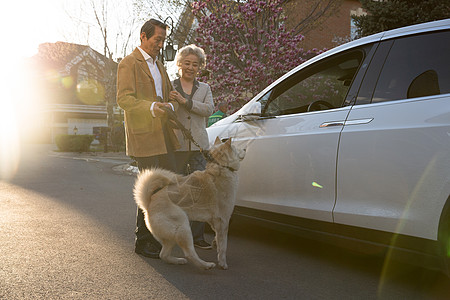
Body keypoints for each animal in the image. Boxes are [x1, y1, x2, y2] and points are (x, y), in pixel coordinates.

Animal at [134, 138, 246, 270]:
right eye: (236, 147)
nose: (245, 149)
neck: (221, 167)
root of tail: (149, 202)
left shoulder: (215, 221)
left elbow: (218, 238)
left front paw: (215, 243)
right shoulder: (223, 220)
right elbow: (223, 246)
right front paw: (223, 263)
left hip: (172, 237)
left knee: (164, 255)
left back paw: (178, 261)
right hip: (184, 227)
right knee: (189, 253)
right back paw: (206, 265)